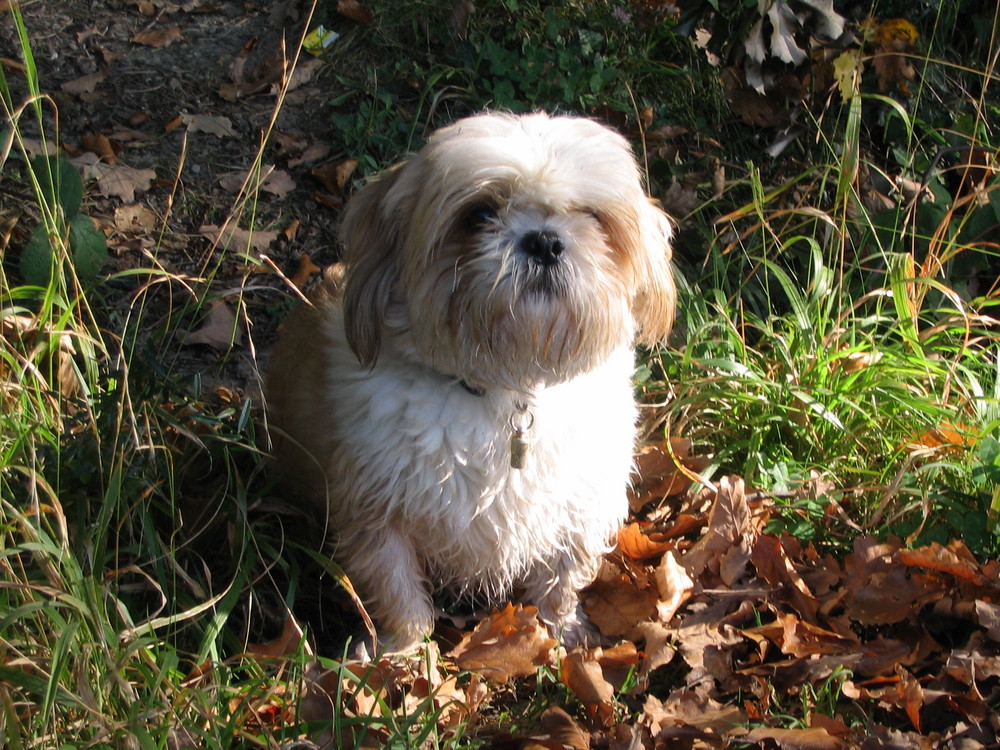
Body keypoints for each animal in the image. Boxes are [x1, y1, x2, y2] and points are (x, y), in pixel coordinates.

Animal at [266, 111, 676, 652]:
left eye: (590, 216)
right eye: (479, 215)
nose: (544, 240)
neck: (508, 390)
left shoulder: (577, 508)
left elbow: (560, 581)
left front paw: (560, 635)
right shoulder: (379, 517)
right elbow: (398, 596)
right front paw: (402, 657)